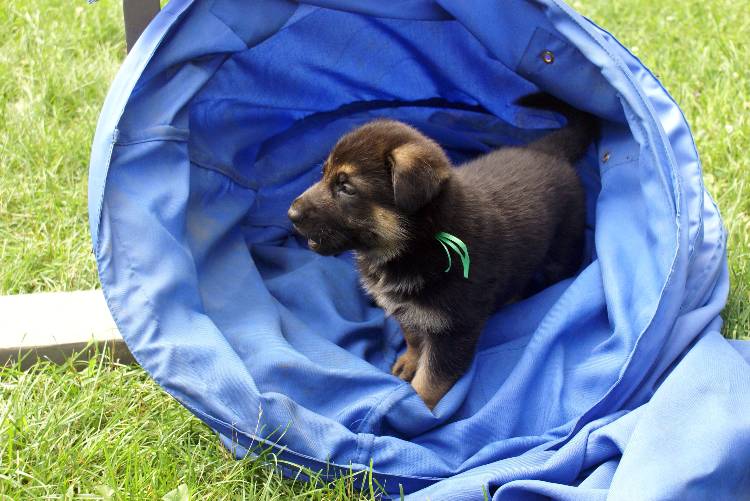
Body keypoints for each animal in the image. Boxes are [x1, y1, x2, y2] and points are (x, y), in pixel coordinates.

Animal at [290, 95, 600, 408]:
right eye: (323, 174)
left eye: (346, 187)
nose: (291, 214)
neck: (422, 240)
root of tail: (548, 151)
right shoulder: (408, 310)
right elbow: (414, 337)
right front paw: (409, 361)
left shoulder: (454, 329)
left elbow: (432, 378)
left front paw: (415, 408)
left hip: (562, 248)